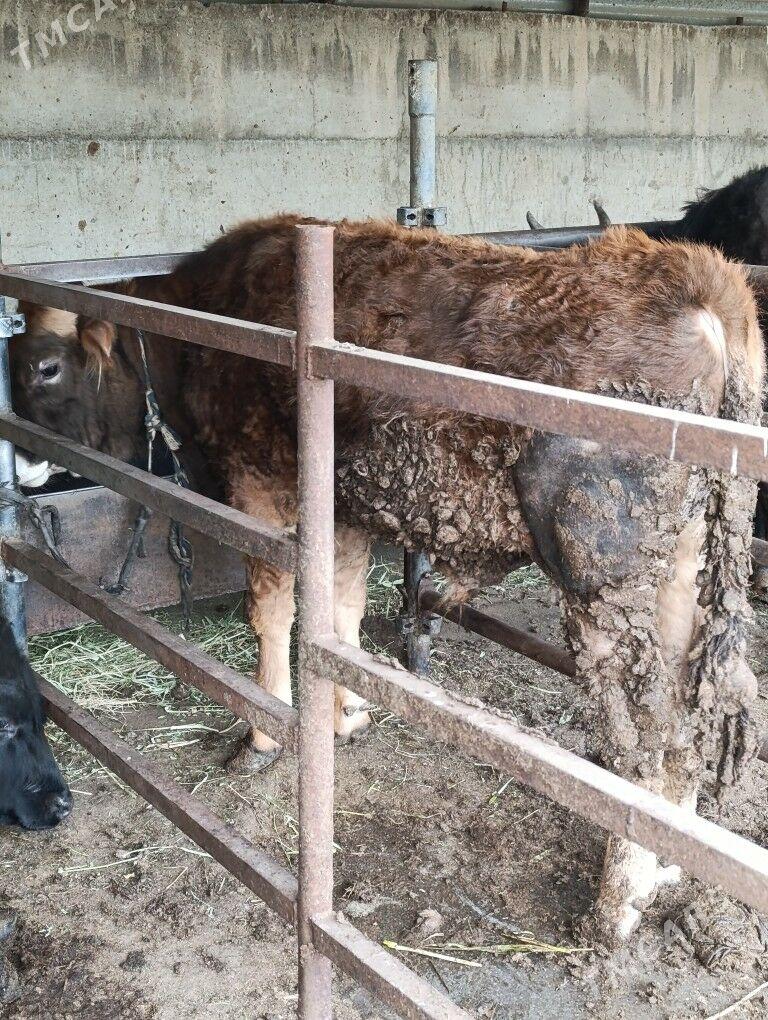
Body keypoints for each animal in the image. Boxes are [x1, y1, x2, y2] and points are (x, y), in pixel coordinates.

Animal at [10, 217, 764, 946]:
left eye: (45, 368)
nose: (16, 461)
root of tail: (697, 278)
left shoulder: (261, 475)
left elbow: (272, 606)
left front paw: (264, 732)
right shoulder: (342, 503)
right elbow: (340, 605)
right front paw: (346, 711)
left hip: (604, 580)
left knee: (648, 738)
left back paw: (617, 907)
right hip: (684, 567)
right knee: (687, 719)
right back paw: (668, 870)